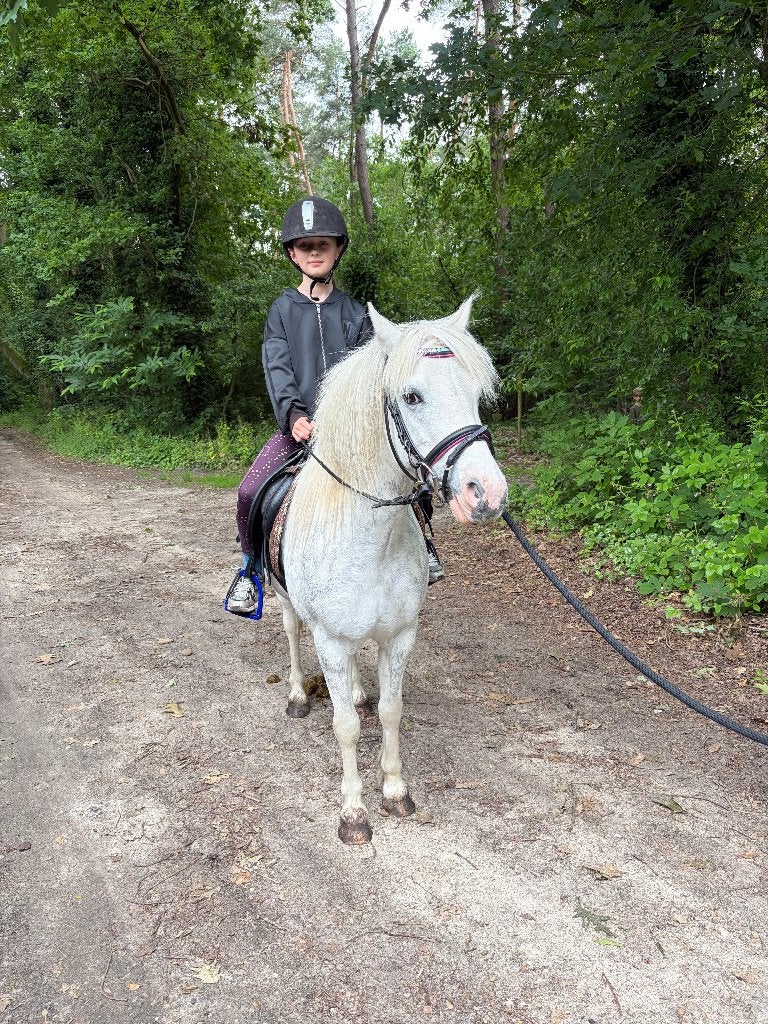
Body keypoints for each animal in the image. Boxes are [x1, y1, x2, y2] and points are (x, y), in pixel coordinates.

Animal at [273, 296, 508, 844]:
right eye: (412, 396)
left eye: (476, 394)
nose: (486, 493)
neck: (369, 541)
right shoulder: (330, 640)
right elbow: (345, 727)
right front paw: (353, 812)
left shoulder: (400, 634)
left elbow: (390, 711)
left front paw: (396, 790)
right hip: (286, 601)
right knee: (292, 633)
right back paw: (296, 694)